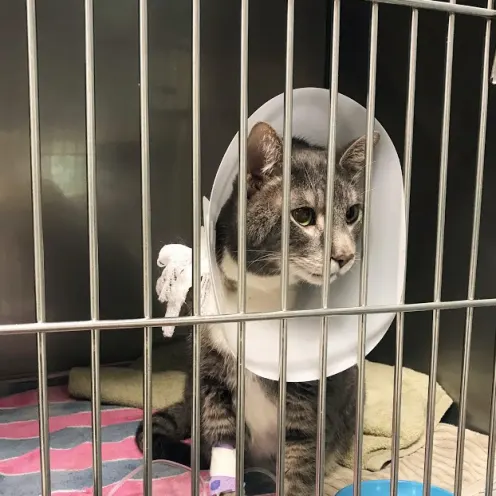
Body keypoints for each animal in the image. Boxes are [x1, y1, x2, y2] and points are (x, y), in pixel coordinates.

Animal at [136, 121, 380, 496]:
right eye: (303, 216)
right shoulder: (213, 382)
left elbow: (301, 456)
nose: (346, 256)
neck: (261, 300)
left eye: (352, 213)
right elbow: (224, 446)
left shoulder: (306, 394)